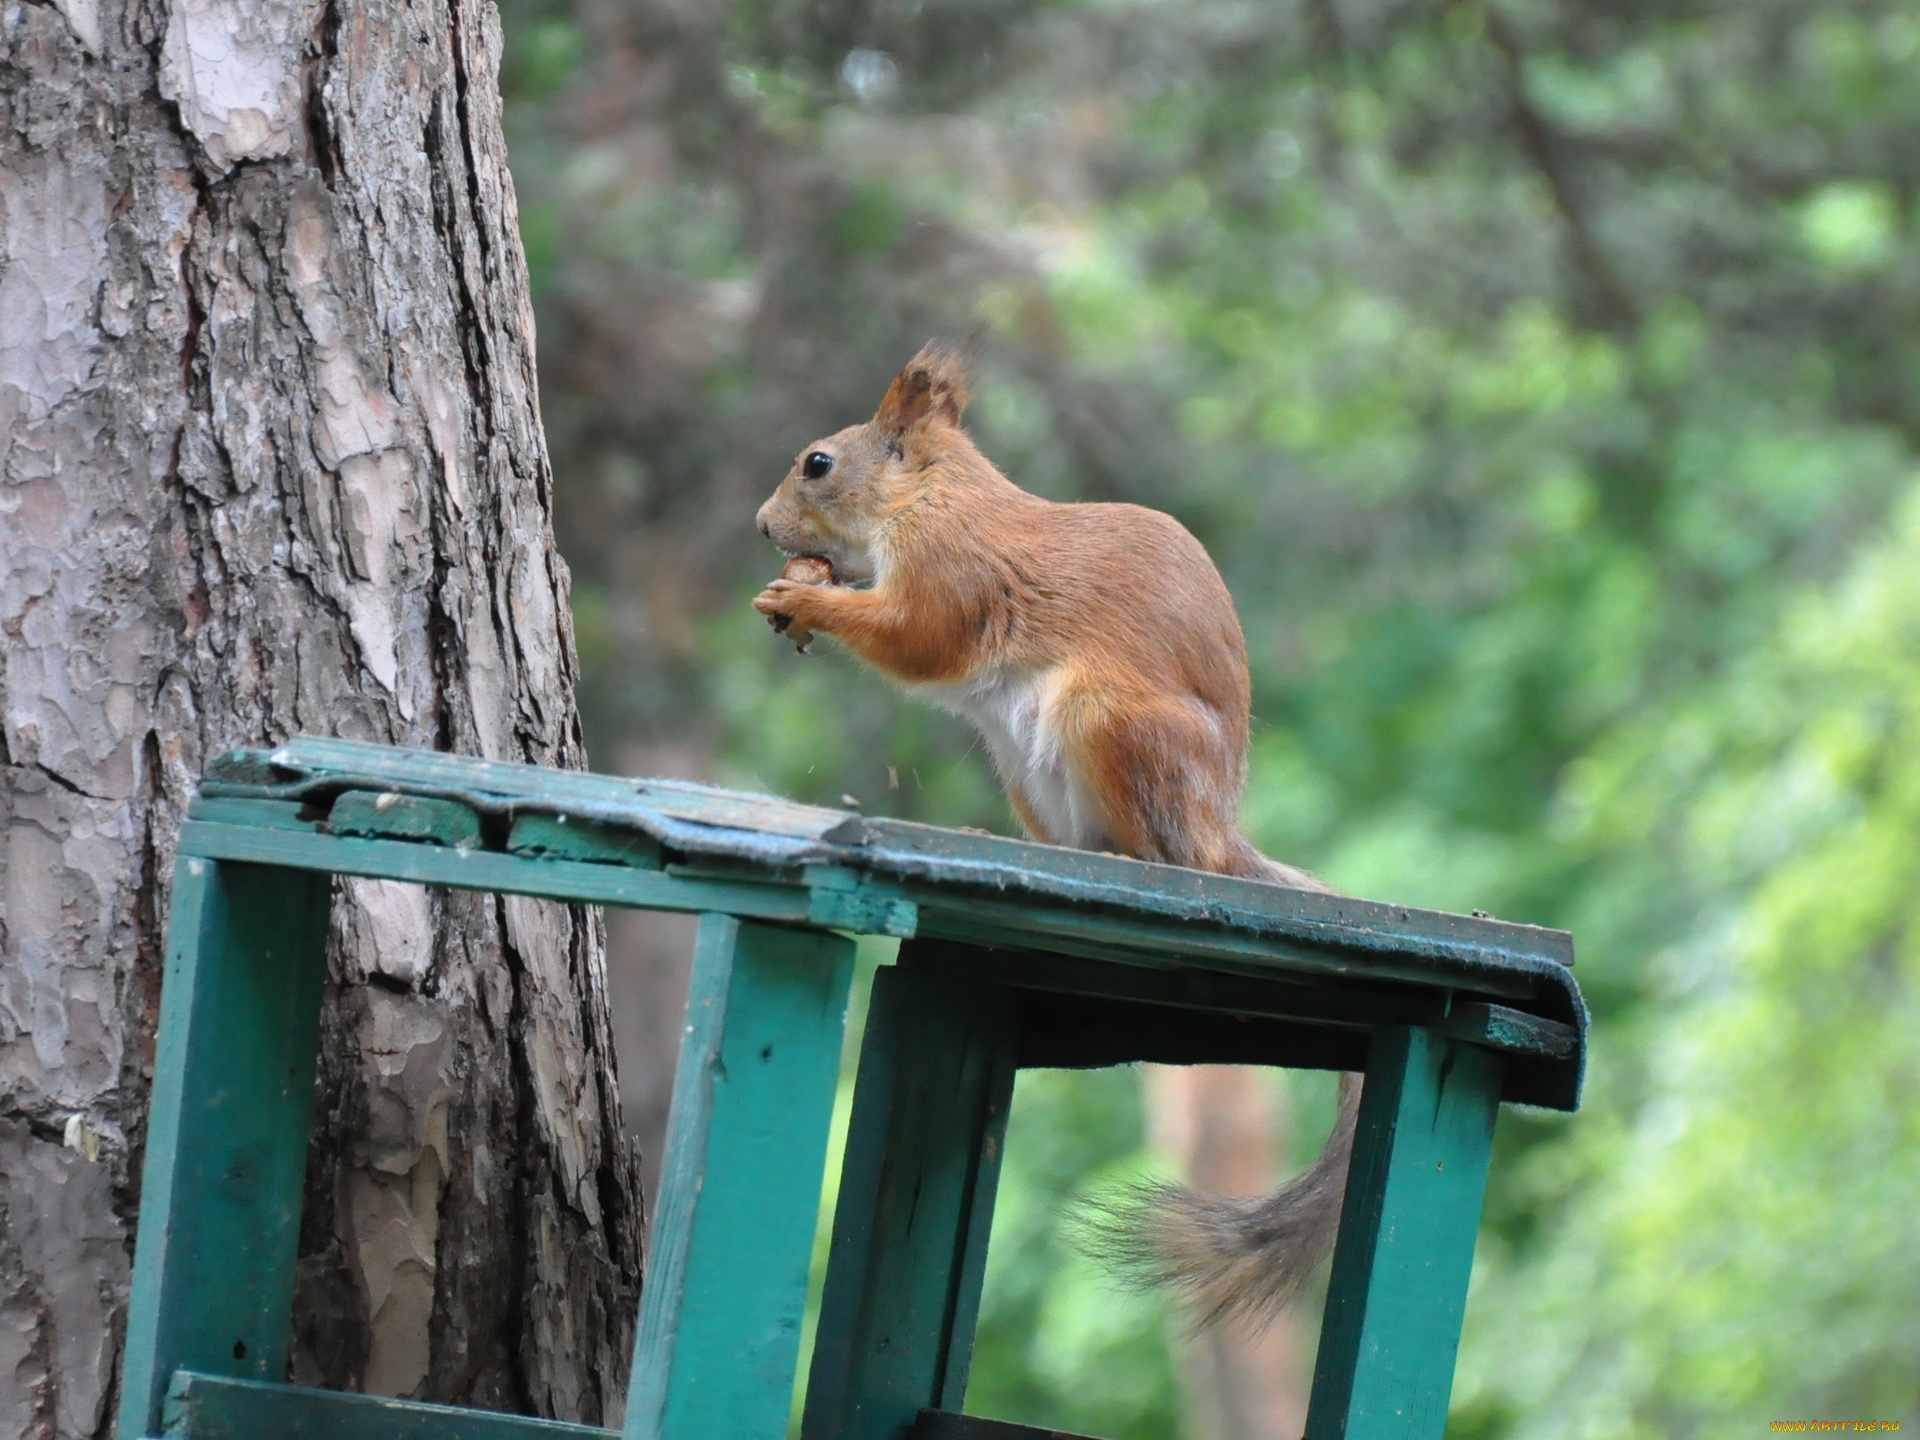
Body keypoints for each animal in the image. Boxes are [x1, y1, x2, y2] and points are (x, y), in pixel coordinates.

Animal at [752, 343, 1367, 1328]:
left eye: (819, 463)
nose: (764, 525)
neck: (927, 497)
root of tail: (1221, 828)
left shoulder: (953, 570)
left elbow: (921, 639)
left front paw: (809, 603)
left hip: (1108, 721)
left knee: (1169, 856)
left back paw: (1125, 855)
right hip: (1018, 763)